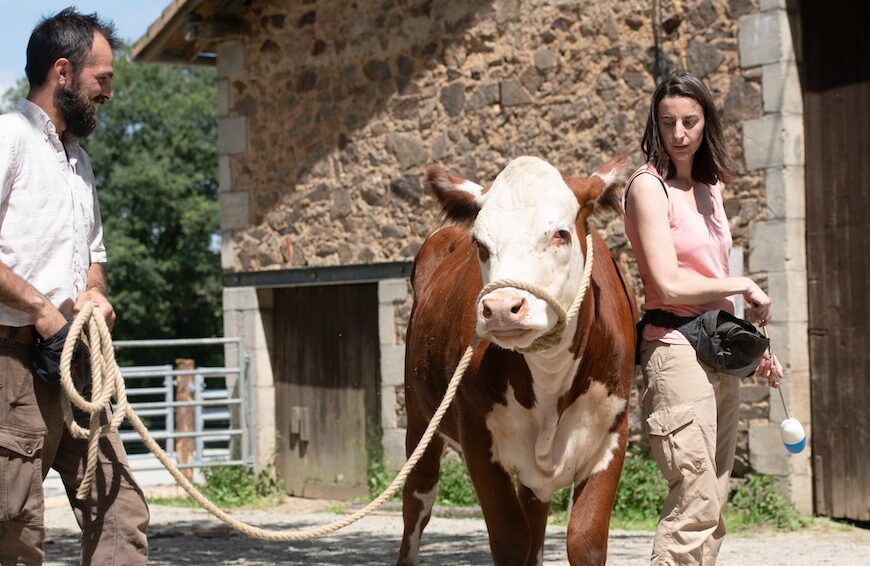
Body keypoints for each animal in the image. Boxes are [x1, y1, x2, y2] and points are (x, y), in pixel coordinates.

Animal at [398, 155, 636, 566]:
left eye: (560, 233)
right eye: (480, 243)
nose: (500, 308)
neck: (549, 373)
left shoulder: (611, 434)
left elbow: (584, 538)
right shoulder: (477, 439)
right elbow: (511, 538)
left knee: (536, 510)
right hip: (419, 413)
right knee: (418, 497)